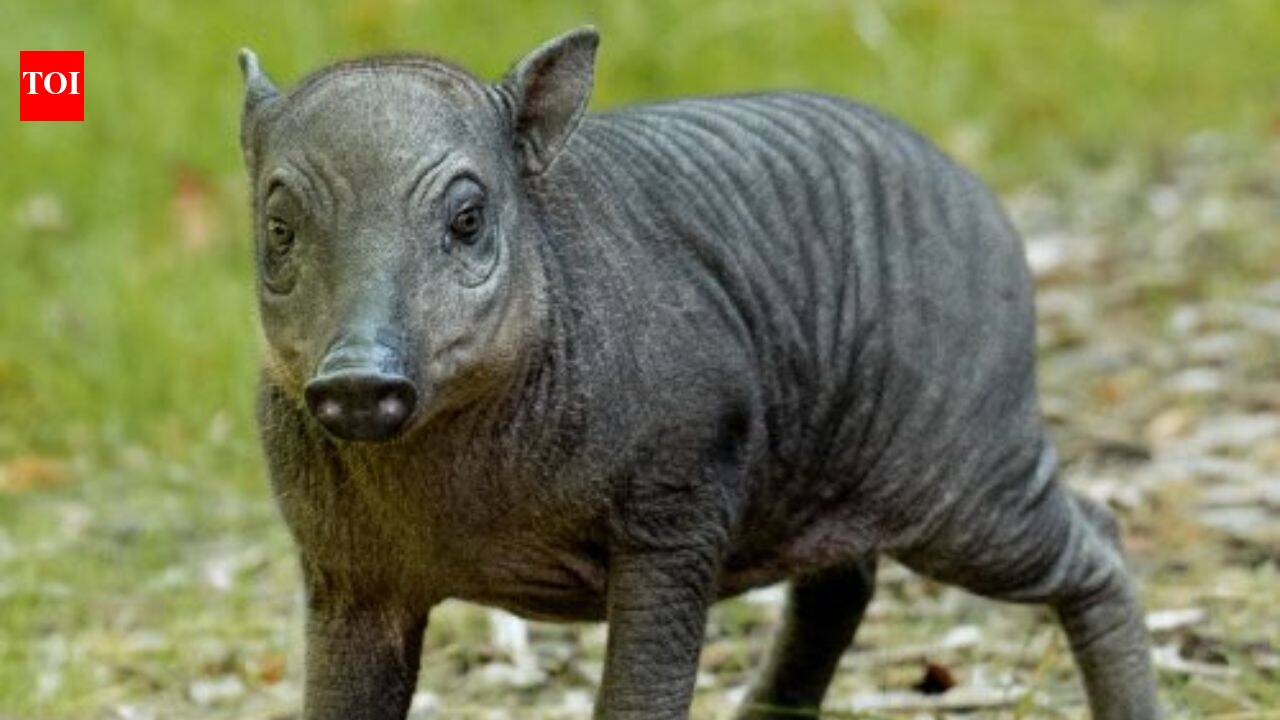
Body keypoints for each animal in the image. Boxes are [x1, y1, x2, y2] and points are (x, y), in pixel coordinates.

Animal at [237, 27, 1160, 720]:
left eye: (467, 220)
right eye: (278, 228)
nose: (358, 382)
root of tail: (980, 196)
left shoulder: (677, 516)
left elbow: (639, 697)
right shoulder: (346, 575)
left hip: (967, 478)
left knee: (1099, 541)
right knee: (841, 586)